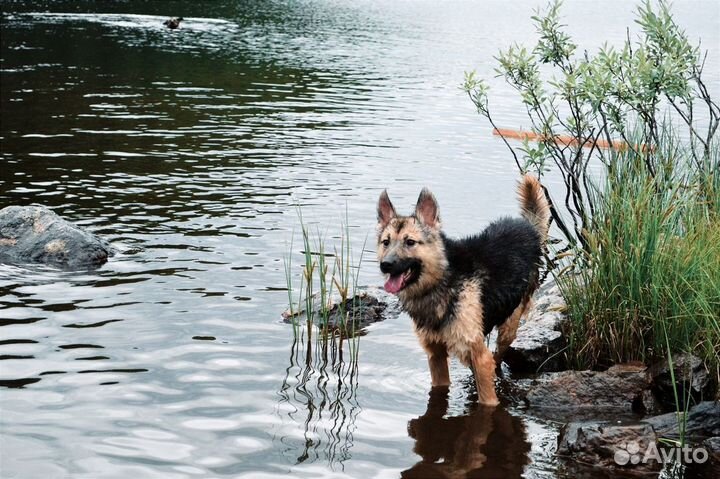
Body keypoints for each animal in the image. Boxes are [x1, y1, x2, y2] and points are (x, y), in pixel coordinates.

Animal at [376, 174, 552, 406]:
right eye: (386, 242)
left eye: (410, 242)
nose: (385, 265)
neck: (441, 281)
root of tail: (527, 227)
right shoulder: (435, 355)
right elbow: (440, 387)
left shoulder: (479, 356)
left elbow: (488, 398)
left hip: (508, 326)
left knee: (497, 356)